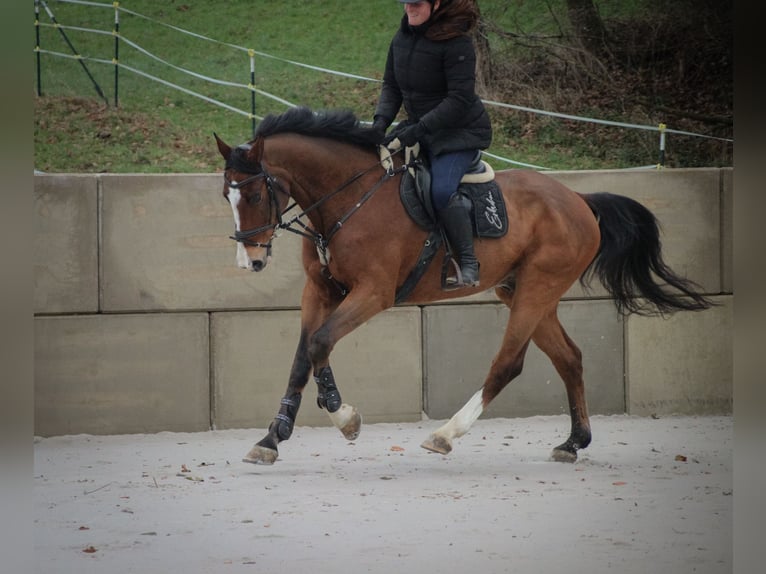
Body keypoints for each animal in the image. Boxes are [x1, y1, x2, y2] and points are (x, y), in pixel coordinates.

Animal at [212, 107, 712, 468]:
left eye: (253, 194)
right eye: (226, 196)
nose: (250, 260)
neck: (348, 201)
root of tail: (578, 199)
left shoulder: (373, 293)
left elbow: (319, 343)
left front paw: (343, 416)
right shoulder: (320, 292)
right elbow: (303, 356)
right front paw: (272, 437)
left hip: (537, 288)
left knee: (508, 364)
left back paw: (445, 434)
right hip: (525, 292)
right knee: (569, 358)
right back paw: (573, 442)